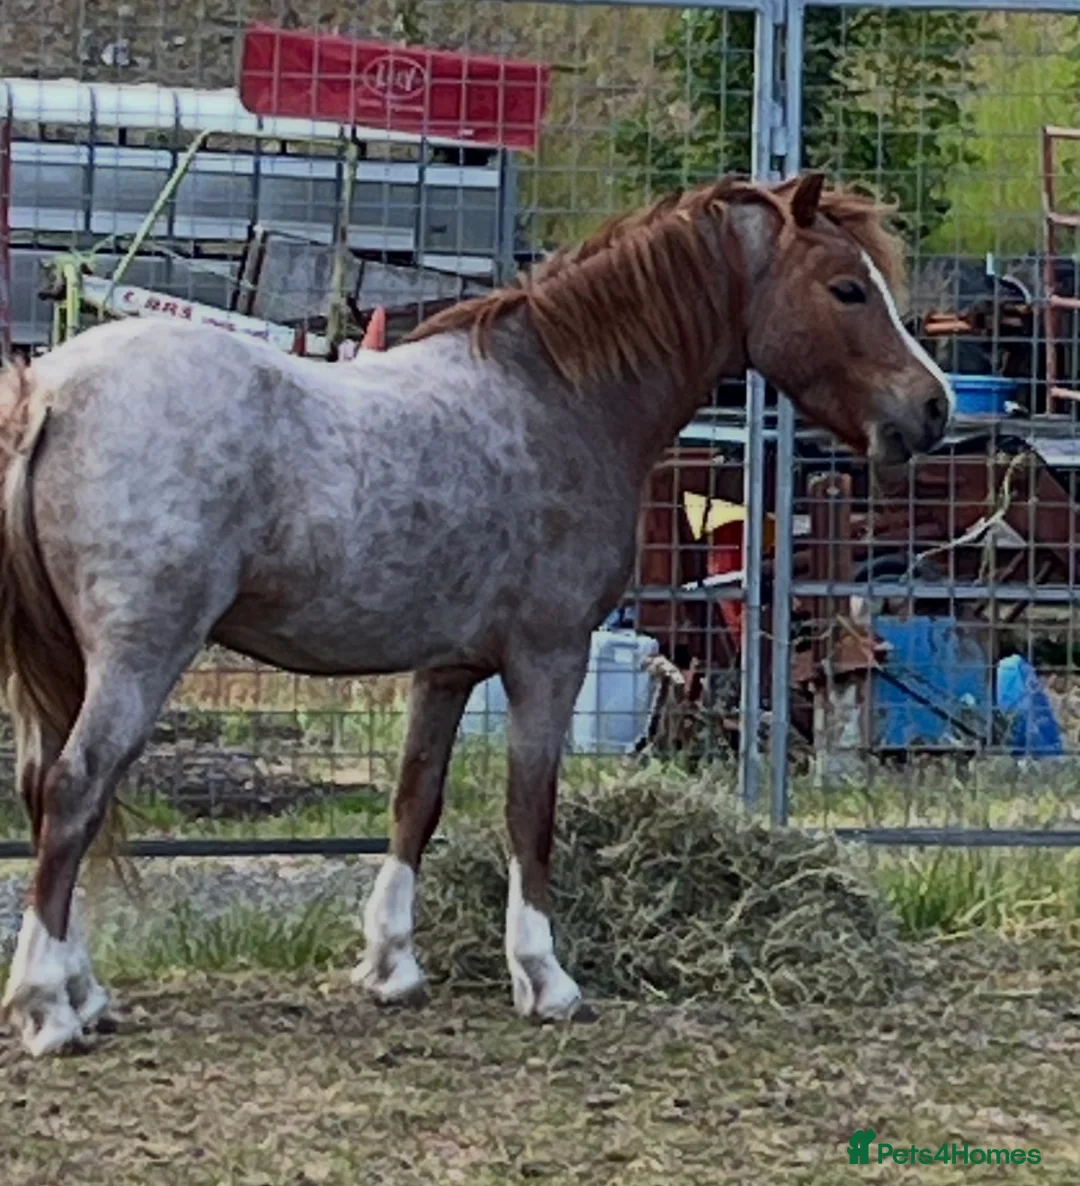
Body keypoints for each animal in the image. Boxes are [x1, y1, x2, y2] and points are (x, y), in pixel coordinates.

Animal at [0, 171, 952, 1057]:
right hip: (139, 656)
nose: (934, 407)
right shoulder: (549, 657)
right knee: (77, 791)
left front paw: (391, 966)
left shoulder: (447, 667)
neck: (556, 397)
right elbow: (531, 811)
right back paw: (47, 1008)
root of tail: (50, 388)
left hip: (72, 665)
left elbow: (414, 800)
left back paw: (86, 995)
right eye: (846, 287)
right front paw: (544, 977)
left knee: (48, 794)